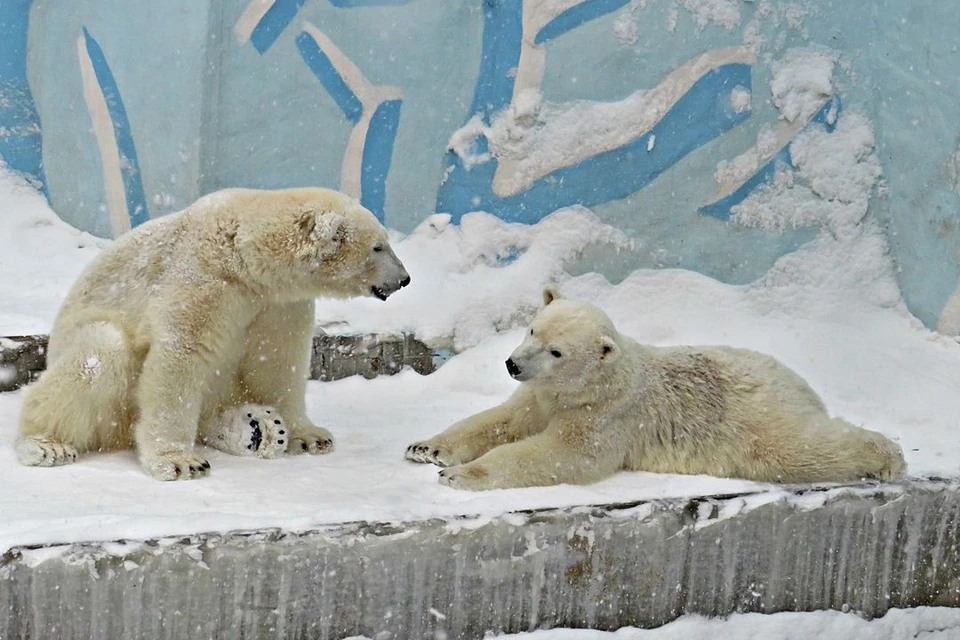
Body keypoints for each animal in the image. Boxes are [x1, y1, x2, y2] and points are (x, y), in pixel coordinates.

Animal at [18, 185, 408, 480]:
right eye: (378, 246)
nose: (404, 279)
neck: (245, 256)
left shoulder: (278, 303)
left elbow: (279, 362)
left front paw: (310, 435)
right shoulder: (203, 279)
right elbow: (180, 356)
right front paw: (179, 461)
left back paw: (258, 428)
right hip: (89, 351)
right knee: (99, 355)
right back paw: (45, 444)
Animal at [404, 286, 908, 490]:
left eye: (557, 351)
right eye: (532, 329)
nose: (512, 364)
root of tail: (799, 383)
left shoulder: (606, 415)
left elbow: (561, 455)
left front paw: (460, 475)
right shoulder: (541, 395)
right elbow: (504, 418)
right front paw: (426, 448)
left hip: (755, 417)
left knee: (798, 448)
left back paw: (888, 457)